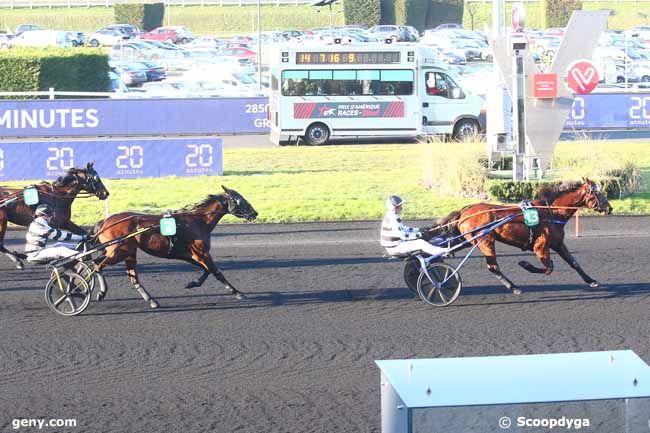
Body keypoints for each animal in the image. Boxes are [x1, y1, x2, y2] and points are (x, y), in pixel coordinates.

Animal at [92, 185, 258, 308]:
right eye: (239, 200)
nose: (255, 213)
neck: (198, 221)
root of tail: (105, 222)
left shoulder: (191, 255)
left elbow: (206, 270)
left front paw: (192, 283)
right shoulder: (201, 253)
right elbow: (216, 272)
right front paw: (237, 292)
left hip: (129, 252)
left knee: (132, 277)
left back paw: (151, 300)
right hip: (119, 251)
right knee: (96, 264)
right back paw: (102, 292)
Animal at [432, 178, 612, 294]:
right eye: (599, 193)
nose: (609, 208)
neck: (551, 212)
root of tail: (465, 211)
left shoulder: (558, 243)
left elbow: (573, 262)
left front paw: (591, 280)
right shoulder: (540, 246)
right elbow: (549, 268)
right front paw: (525, 264)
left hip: (470, 240)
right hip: (485, 241)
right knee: (493, 266)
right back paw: (514, 287)